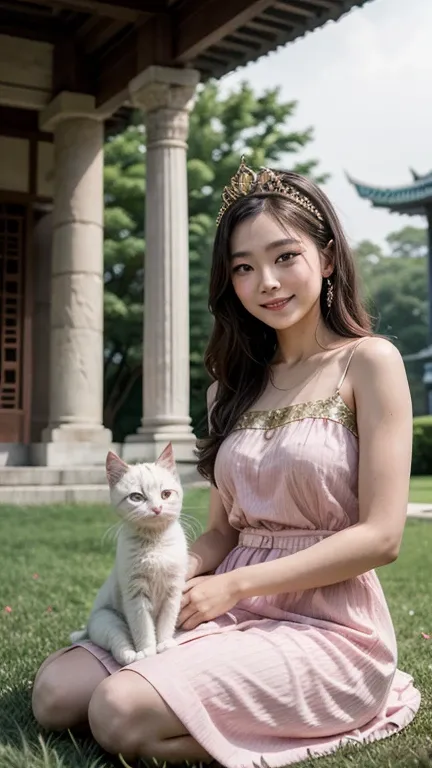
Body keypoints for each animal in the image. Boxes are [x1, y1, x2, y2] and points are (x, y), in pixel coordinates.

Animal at [70, 444, 188, 664]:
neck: (154, 544)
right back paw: (132, 655)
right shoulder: (135, 595)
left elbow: (166, 621)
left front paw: (165, 643)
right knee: (120, 645)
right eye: (136, 497)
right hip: (108, 620)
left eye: (166, 494)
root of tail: (88, 627)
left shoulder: (173, 591)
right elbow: (143, 628)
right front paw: (148, 651)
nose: (157, 508)